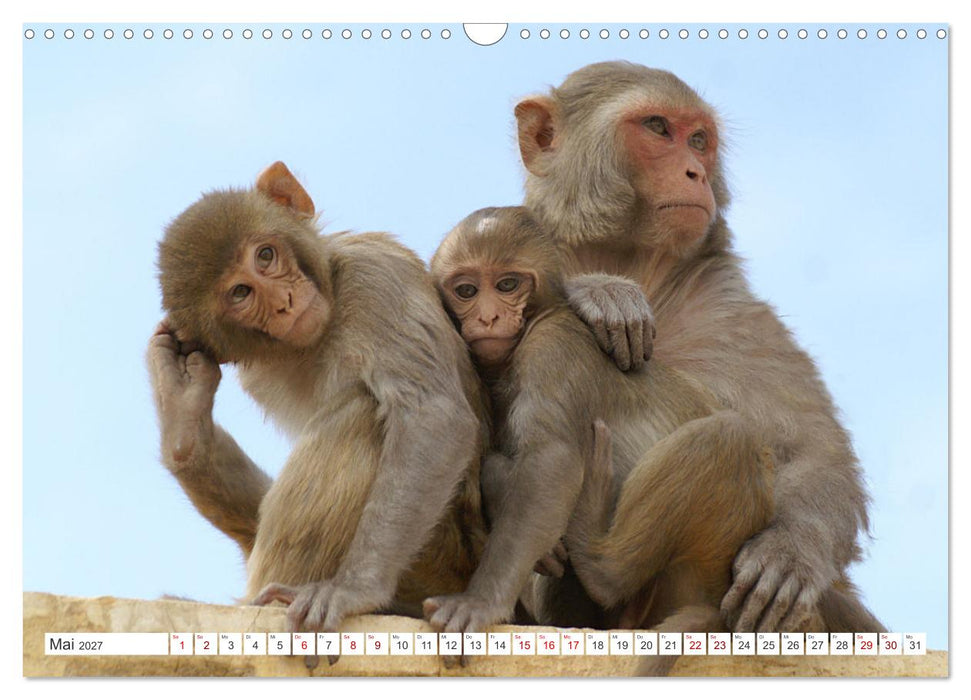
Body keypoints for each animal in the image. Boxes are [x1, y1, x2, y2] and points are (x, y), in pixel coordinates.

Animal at [147, 161, 488, 636]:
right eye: (240, 293)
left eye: (265, 256)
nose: (284, 302)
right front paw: (186, 419)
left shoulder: (376, 278)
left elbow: (433, 416)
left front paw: (353, 588)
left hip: (442, 565)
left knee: (362, 414)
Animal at [424, 207, 777, 675]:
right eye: (466, 290)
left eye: (507, 285)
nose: (487, 318)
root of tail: (714, 599)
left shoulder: (551, 348)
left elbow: (550, 464)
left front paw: (480, 602)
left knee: (730, 436)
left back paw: (600, 561)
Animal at [515, 61, 884, 634]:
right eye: (657, 127)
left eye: (698, 140)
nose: (695, 173)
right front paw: (601, 292)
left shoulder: (733, 312)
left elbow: (813, 448)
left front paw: (789, 552)